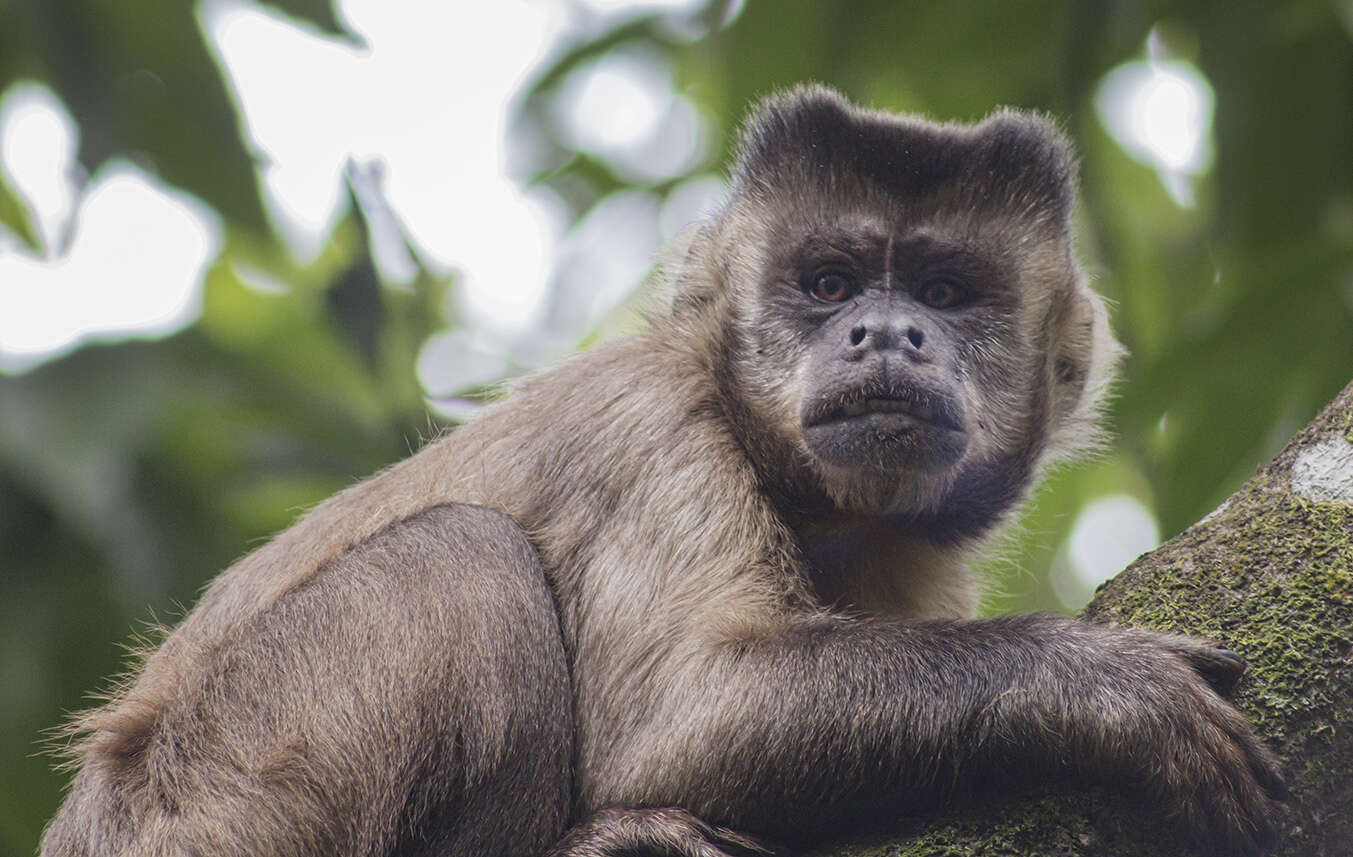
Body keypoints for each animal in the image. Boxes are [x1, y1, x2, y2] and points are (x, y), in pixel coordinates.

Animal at [42, 86, 1282, 855]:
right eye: (828, 284)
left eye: (942, 291)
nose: (885, 334)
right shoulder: (652, 426)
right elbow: (687, 715)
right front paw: (1100, 686)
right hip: (211, 803)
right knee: (463, 560)